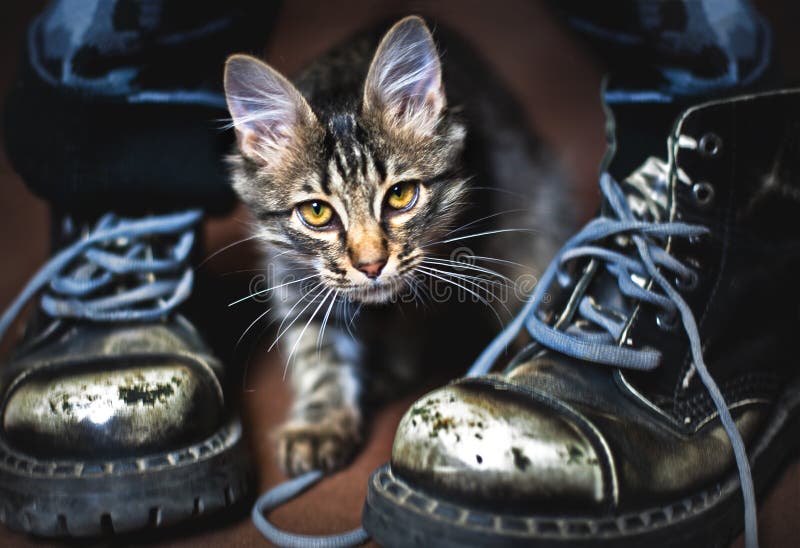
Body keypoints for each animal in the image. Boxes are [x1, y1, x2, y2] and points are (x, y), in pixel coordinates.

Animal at [225, 17, 576, 476]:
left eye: (400, 195)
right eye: (317, 212)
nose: (371, 265)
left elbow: (414, 323)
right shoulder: (295, 279)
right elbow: (318, 355)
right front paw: (320, 422)